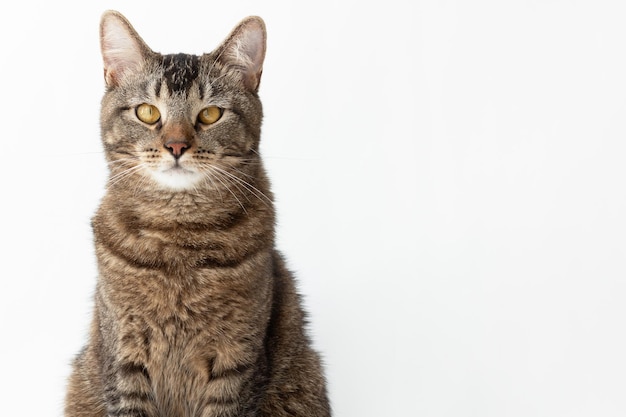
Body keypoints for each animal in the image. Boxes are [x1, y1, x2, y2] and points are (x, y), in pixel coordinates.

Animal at [64, 9, 332, 416]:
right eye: (147, 112)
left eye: (210, 114)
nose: (176, 146)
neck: (179, 237)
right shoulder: (123, 354)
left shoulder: (237, 359)